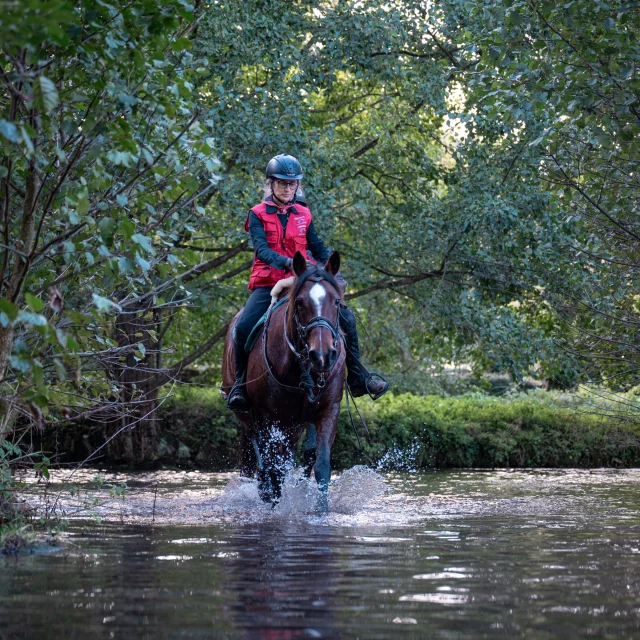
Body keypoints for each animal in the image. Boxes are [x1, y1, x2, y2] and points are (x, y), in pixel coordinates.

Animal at [222, 250, 348, 504]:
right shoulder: (270, 417)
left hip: (293, 425)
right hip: (252, 418)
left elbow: (320, 466)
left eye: (337, 302)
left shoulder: (328, 410)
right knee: (259, 463)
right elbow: (272, 472)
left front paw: (321, 510)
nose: (322, 355)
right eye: (299, 303)